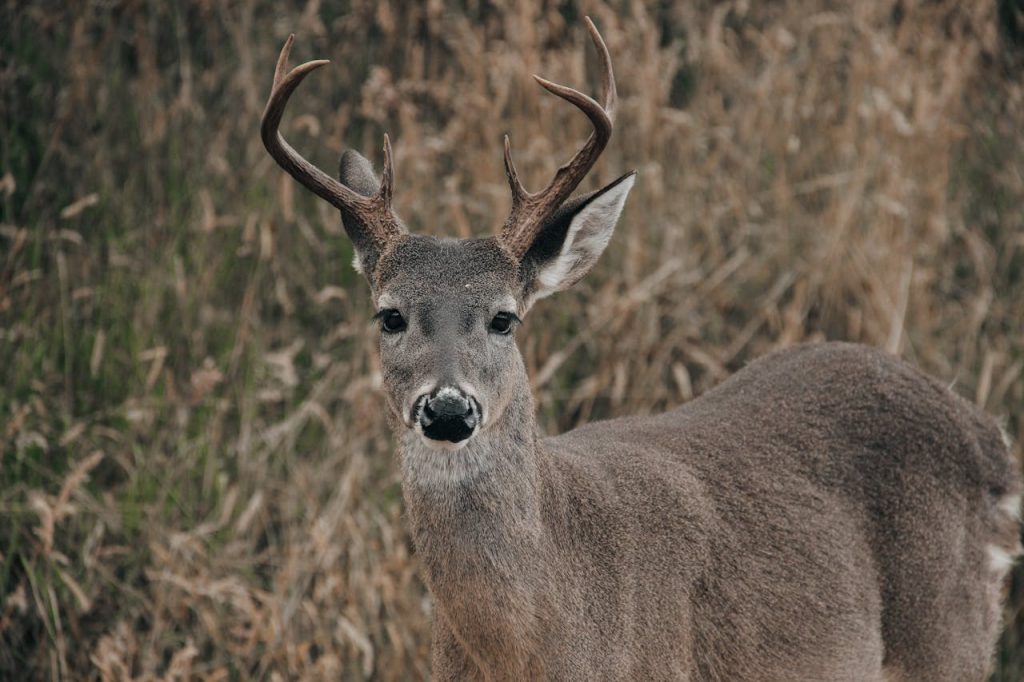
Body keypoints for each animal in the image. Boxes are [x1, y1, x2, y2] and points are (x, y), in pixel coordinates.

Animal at [260, 19, 1022, 682]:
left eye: (505, 319)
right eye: (389, 316)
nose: (448, 410)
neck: (533, 641)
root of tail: (988, 437)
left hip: (948, 637)